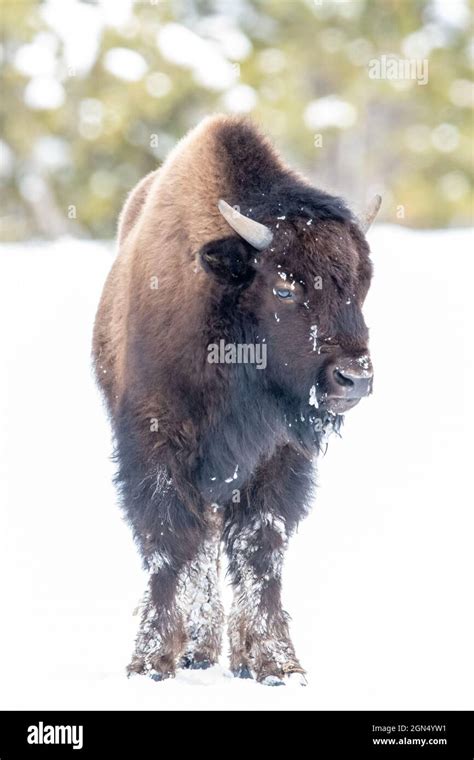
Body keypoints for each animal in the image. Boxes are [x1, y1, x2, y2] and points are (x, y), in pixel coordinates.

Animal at [93, 114, 382, 688]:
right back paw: (196, 650)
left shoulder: (277, 457)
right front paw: (150, 662)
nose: (353, 379)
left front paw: (275, 664)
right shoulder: (156, 446)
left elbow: (259, 548)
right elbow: (169, 542)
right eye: (286, 288)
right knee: (197, 542)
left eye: (362, 283)